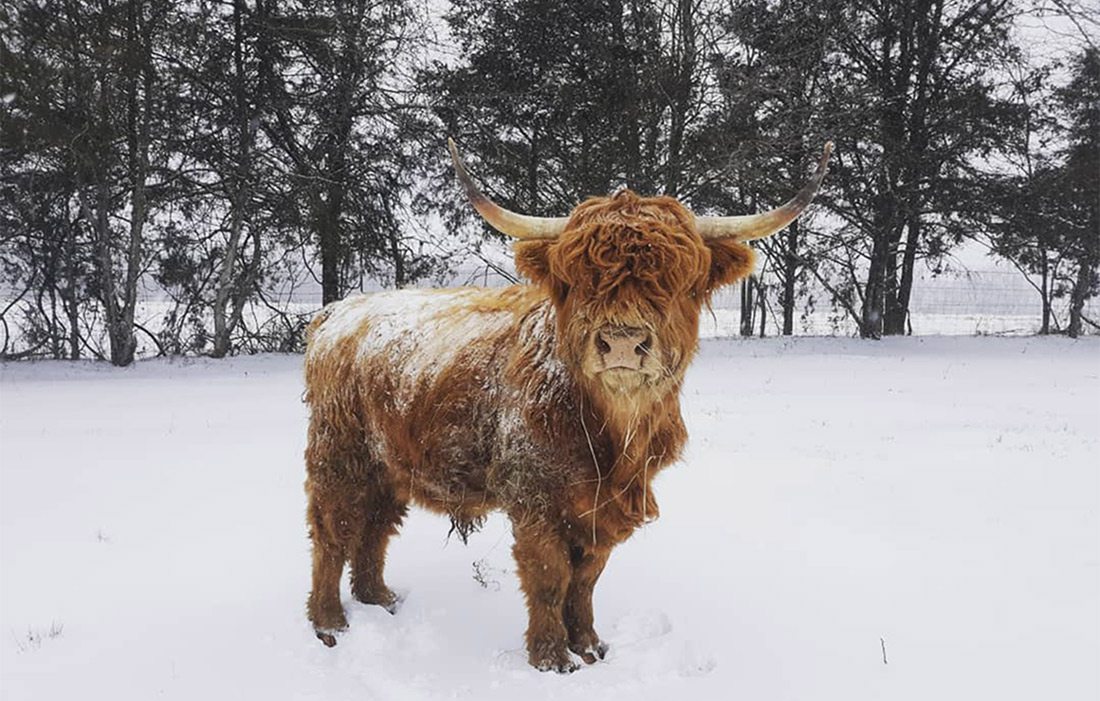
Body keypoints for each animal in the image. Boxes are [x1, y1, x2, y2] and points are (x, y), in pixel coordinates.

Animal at [303, 138, 831, 673]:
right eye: (579, 280)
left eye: (681, 282)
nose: (623, 343)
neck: (612, 439)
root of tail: (338, 311)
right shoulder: (535, 499)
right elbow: (550, 576)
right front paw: (552, 657)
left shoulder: (603, 509)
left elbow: (587, 579)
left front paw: (591, 645)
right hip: (340, 455)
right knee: (332, 531)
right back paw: (330, 623)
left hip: (388, 464)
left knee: (375, 528)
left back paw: (378, 599)